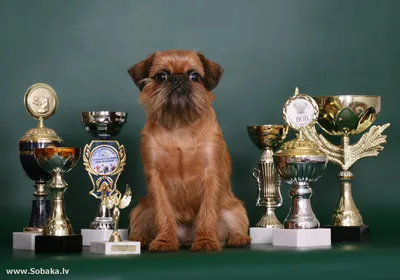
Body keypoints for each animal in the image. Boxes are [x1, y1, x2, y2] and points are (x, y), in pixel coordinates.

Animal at [127, 49, 250, 252]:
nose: (177, 78)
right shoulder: (155, 177)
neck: (180, 124)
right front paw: (165, 241)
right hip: (142, 208)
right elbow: (163, 212)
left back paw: (239, 239)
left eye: (194, 76)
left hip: (235, 209)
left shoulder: (211, 174)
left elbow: (207, 210)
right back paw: (139, 239)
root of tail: (186, 239)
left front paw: (206, 240)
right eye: (161, 76)